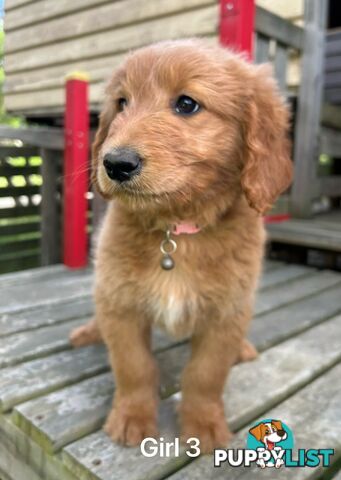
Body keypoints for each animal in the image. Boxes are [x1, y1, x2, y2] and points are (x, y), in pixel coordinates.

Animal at [70, 38, 290, 454]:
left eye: (187, 104)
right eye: (122, 103)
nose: (115, 163)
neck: (177, 232)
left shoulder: (226, 313)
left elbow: (206, 374)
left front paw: (202, 426)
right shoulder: (120, 304)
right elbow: (134, 366)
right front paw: (131, 418)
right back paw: (90, 331)